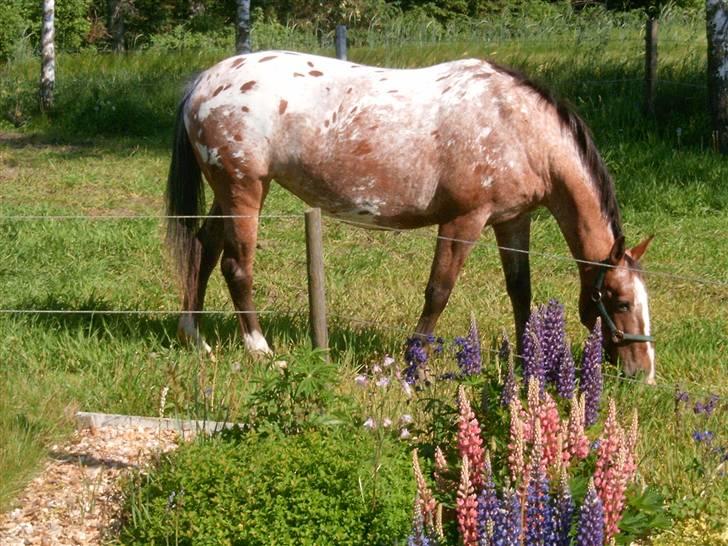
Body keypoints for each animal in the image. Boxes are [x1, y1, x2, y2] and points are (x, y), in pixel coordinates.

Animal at [165, 51, 656, 382]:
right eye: (620, 301)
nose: (644, 373)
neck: (517, 126)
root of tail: (205, 81)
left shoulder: (512, 221)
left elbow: (521, 291)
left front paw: (524, 362)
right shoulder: (464, 220)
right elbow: (439, 291)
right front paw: (414, 364)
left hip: (227, 192)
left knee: (204, 250)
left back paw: (195, 336)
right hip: (244, 189)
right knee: (236, 266)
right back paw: (259, 349)